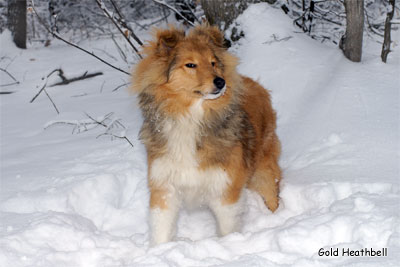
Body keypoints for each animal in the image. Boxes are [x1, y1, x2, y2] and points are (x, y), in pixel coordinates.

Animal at [131, 24, 282, 246]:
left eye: (213, 62)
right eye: (190, 65)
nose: (221, 82)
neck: (190, 118)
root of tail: (256, 84)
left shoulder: (225, 189)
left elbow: (227, 227)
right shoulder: (164, 186)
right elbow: (161, 229)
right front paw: (159, 250)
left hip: (263, 169)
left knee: (272, 194)